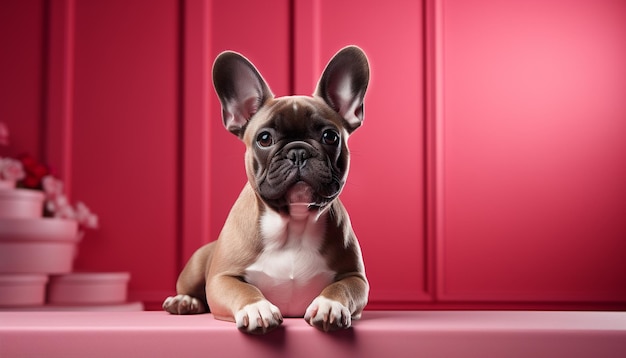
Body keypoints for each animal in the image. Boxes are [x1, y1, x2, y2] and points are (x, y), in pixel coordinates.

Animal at [163, 46, 368, 334]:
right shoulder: (221, 278)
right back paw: (184, 301)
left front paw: (330, 305)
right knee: (191, 289)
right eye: (264, 139)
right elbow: (243, 289)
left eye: (331, 136)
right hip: (195, 267)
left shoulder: (356, 277)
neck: (293, 222)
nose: (298, 151)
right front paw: (257, 309)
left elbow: (343, 288)